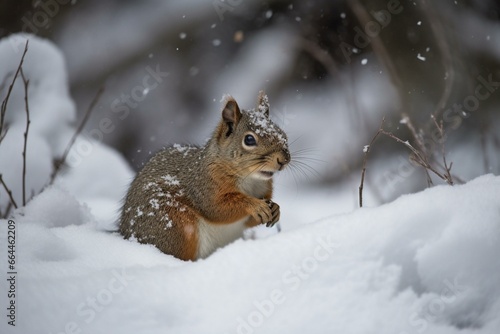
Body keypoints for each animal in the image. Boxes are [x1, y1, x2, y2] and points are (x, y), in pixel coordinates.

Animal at [119, 91, 292, 260]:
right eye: (249, 139)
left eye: (283, 133)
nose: (283, 160)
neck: (250, 179)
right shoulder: (204, 187)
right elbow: (216, 208)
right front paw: (254, 205)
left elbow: (249, 221)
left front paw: (276, 209)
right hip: (174, 223)